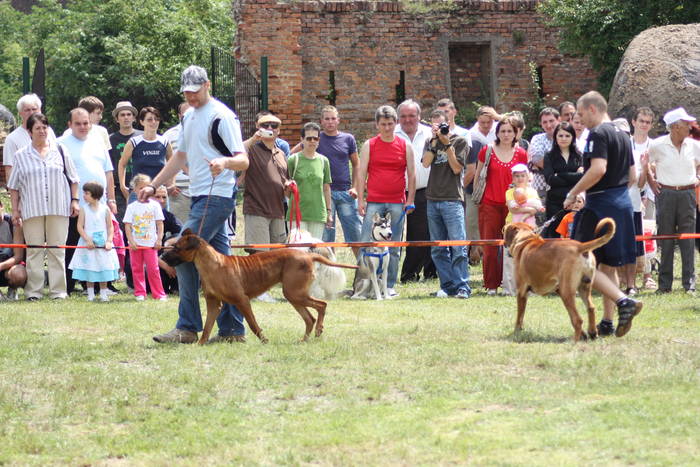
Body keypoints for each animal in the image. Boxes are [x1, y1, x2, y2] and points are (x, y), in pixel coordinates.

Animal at [163, 229, 356, 346]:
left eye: (177, 247)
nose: (162, 256)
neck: (211, 265)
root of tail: (308, 256)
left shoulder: (242, 301)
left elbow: (253, 324)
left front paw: (264, 340)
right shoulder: (213, 304)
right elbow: (207, 326)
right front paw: (200, 343)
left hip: (295, 293)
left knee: (322, 305)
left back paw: (318, 331)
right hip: (294, 295)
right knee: (310, 318)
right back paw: (304, 340)